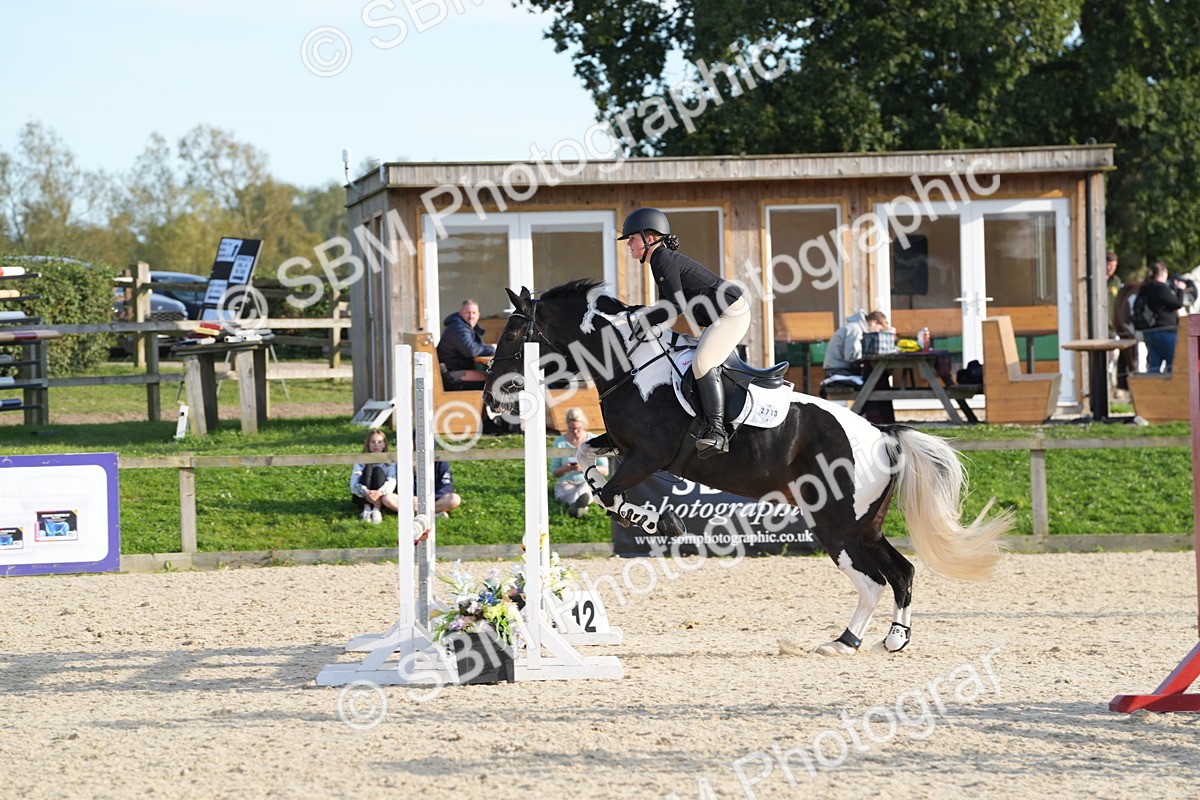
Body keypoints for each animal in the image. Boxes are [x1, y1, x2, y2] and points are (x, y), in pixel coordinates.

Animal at [483, 280, 1011, 655]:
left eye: (514, 333)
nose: (489, 397)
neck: (628, 365)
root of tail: (884, 437)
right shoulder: (622, 445)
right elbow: (587, 460)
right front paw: (610, 493)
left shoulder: (648, 455)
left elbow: (613, 494)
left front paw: (656, 521)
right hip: (864, 525)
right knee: (901, 572)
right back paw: (893, 639)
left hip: (836, 526)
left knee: (873, 582)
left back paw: (844, 642)